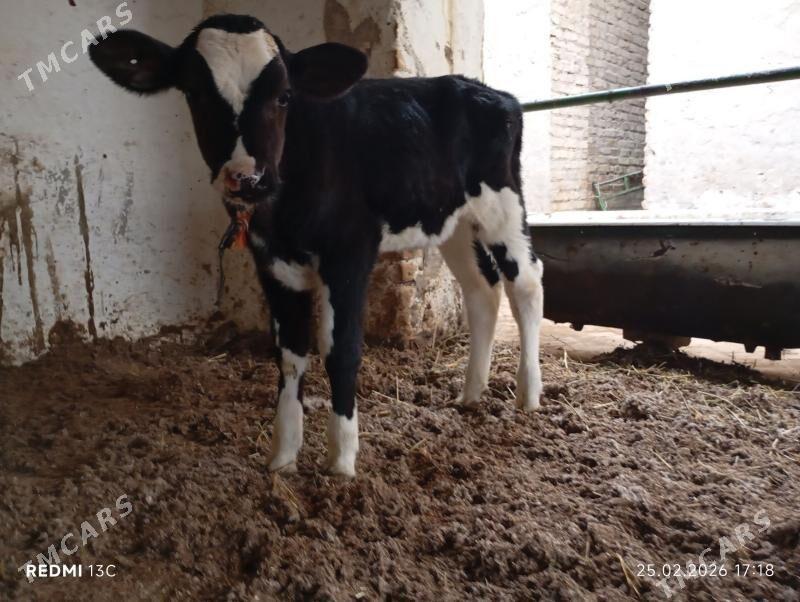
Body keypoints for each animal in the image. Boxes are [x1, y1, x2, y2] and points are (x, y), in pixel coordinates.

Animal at [89, 14, 543, 477]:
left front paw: (341, 459)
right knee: (481, 290)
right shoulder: (271, 262)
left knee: (525, 283)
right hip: (453, 220)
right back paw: (471, 393)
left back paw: (528, 394)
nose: (247, 178)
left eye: (284, 95)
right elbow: (290, 352)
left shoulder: (350, 252)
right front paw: (283, 454)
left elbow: (341, 349)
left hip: (503, 204)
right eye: (194, 92)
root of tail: (490, 91)